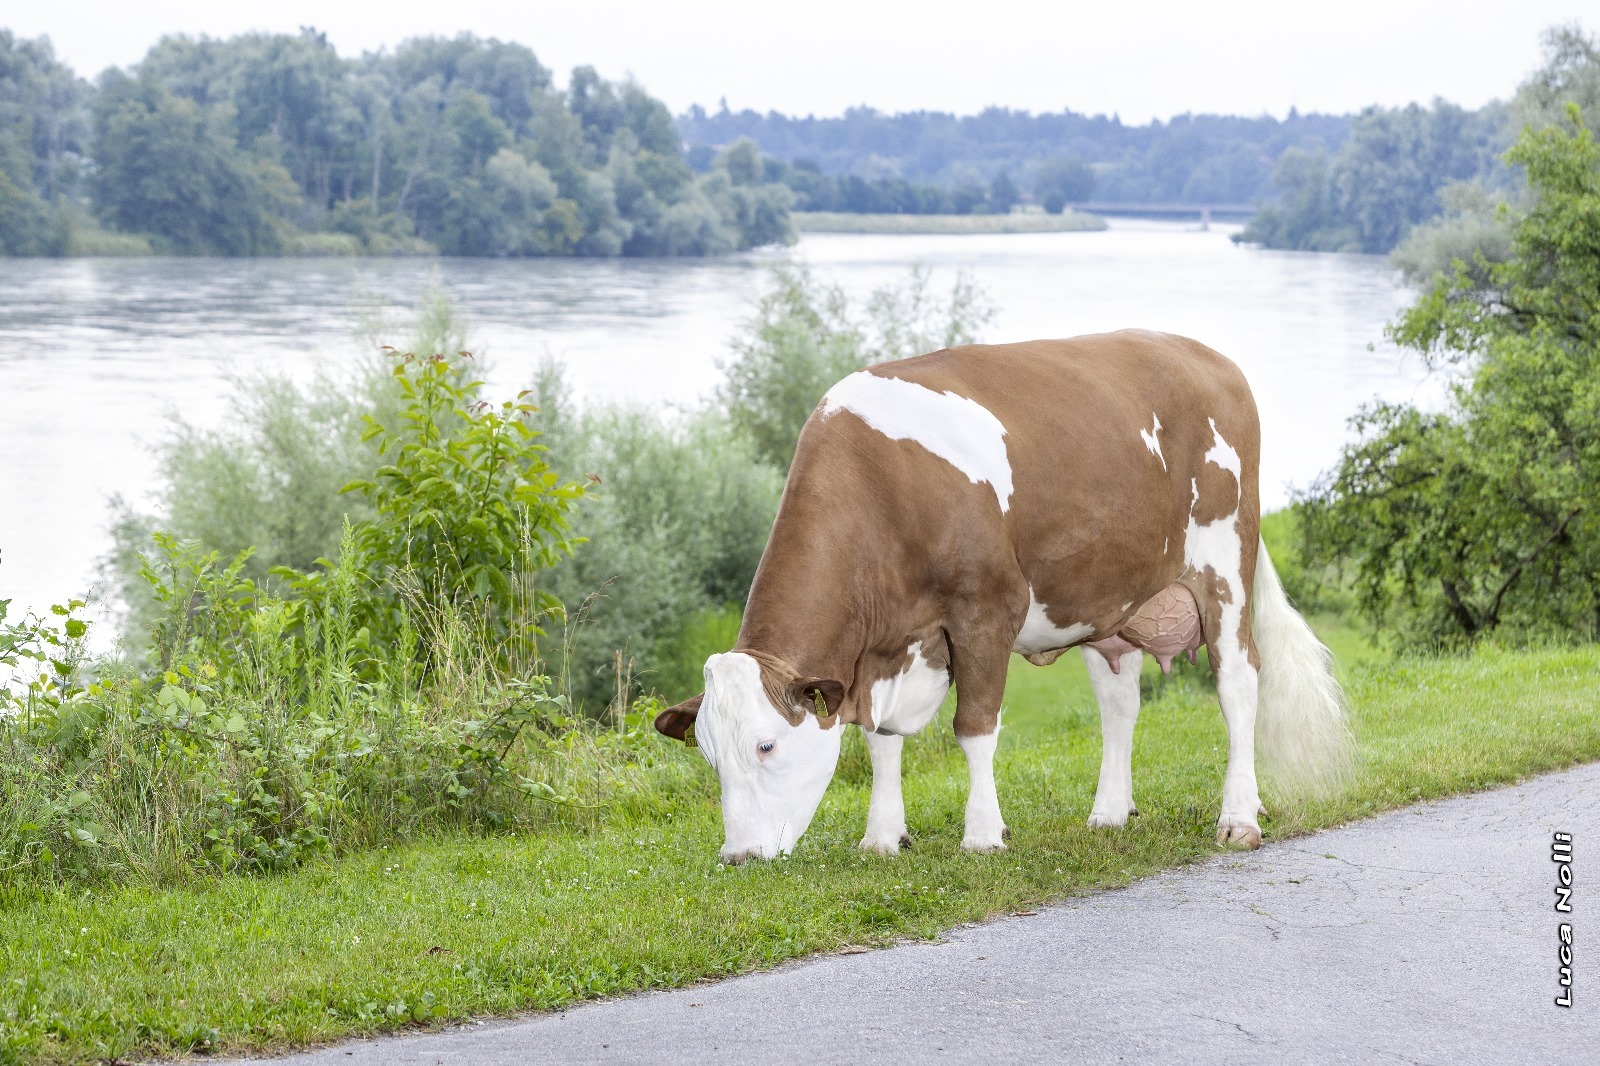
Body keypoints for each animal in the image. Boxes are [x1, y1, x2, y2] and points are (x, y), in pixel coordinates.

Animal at [652, 329, 1350, 864]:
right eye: (708, 755)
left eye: (765, 744)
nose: (738, 856)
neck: (882, 490)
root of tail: (1207, 356)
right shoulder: (886, 651)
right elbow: (880, 739)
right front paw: (882, 837)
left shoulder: (985, 610)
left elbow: (975, 727)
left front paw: (984, 835)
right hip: (1109, 599)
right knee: (1119, 702)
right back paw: (1109, 812)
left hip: (1224, 561)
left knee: (1238, 682)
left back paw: (1239, 816)